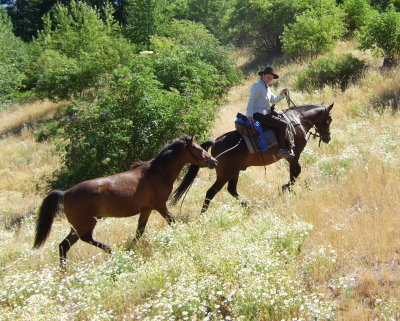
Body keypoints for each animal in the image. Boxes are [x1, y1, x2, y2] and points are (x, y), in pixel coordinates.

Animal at [32, 134, 217, 266]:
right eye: (198, 149)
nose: (213, 161)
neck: (158, 172)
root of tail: (65, 194)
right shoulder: (160, 205)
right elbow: (172, 221)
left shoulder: (147, 209)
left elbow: (139, 231)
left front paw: (130, 250)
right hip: (86, 223)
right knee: (77, 241)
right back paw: (106, 252)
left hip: (79, 226)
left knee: (67, 244)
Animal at [172, 103, 334, 212]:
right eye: (329, 120)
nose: (327, 138)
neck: (298, 120)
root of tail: (216, 142)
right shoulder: (293, 156)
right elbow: (295, 172)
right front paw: (284, 188)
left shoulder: (292, 157)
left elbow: (294, 173)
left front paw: (287, 188)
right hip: (225, 174)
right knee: (211, 192)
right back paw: (203, 215)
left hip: (234, 172)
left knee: (232, 190)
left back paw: (247, 204)